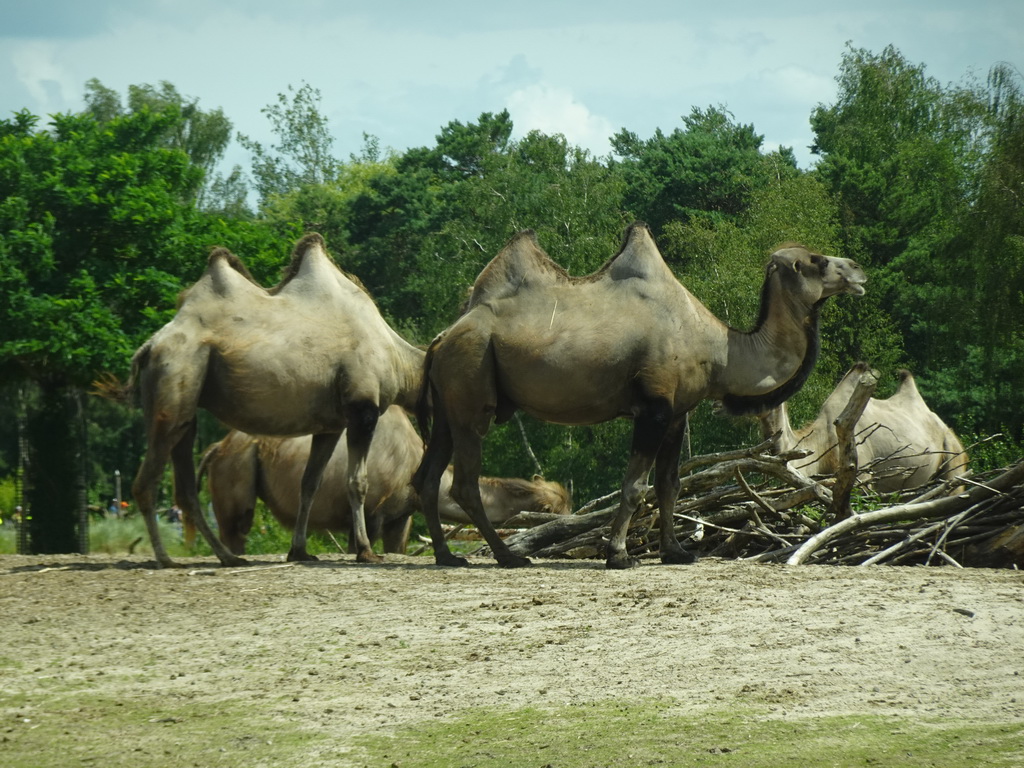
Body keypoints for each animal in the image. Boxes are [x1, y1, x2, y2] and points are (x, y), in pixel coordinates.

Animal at [129, 233, 423, 565]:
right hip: (175, 377)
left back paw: (228, 557)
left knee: (186, 490)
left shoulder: (331, 424)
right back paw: (165, 558)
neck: (398, 360)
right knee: (147, 482)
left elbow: (309, 484)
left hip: (186, 407)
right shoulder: (362, 408)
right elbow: (357, 482)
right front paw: (366, 551)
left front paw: (299, 551)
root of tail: (150, 347)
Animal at [192, 405, 573, 557]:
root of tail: (215, 449)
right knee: (236, 528)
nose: (571, 526)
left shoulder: (399, 519)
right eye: (556, 511)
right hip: (237, 476)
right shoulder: (372, 515)